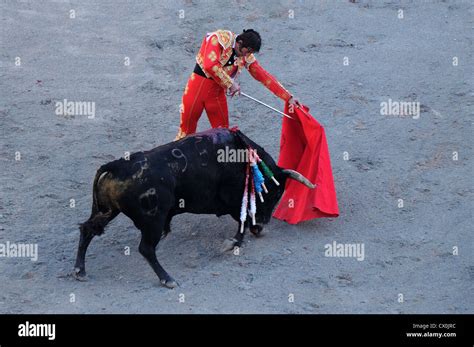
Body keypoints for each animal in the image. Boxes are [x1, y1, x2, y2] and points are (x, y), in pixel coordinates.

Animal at [75, 128, 314, 288]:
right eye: (274, 193)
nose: (264, 223)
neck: (244, 159)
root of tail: (117, 165)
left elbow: (243, 220)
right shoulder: (232, 200)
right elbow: (242, 221)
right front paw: (232, 242)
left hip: (107, 211)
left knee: (87, 229)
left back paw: (80, 271)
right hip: (154, 220)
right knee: (146, 248)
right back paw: (167, 279)